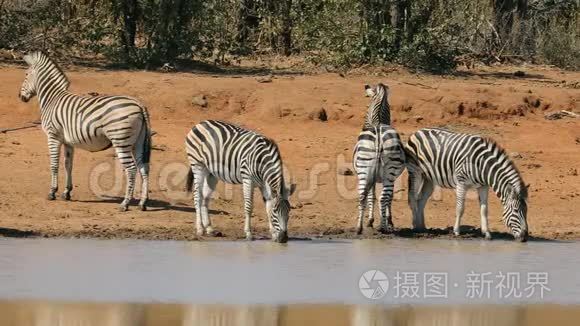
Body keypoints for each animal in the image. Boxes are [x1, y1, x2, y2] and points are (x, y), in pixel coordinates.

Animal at [19, 49, 152, 210]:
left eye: (26, 74)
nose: (20, 97)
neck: (52, 98)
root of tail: (139, 104)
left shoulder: (53, 136)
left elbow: (54, 164)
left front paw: (52, 192)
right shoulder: (68, 141)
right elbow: (68, 165)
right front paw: (66, 192)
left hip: (121, 140)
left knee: (131, 169)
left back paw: (125, 203)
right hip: (137, 142)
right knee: (143, 168)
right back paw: (142, 203)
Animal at [352, 83, 406, 233]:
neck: (377, 121)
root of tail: (378, 136)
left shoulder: (372, 175)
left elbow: (372, 196)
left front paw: (371, 220)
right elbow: (386, 197)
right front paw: (388, 220)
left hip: (365, 170)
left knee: (362, 196)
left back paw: (359, 227)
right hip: (389, 173)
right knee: (383, 197)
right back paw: (383, 227)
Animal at [404, 127, 532, 242]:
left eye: (526, 210)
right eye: (516, 210)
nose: (525, 237)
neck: (482, 165)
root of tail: (418, 131)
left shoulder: (483, 186)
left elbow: (484, 210)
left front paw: (486, 233)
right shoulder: (461, 183)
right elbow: (460, 208)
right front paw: (456, 231)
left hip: (429, 178)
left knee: (421, 200)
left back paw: (422, 227)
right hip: (415, 171)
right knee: (412, 197)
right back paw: (415, 226)